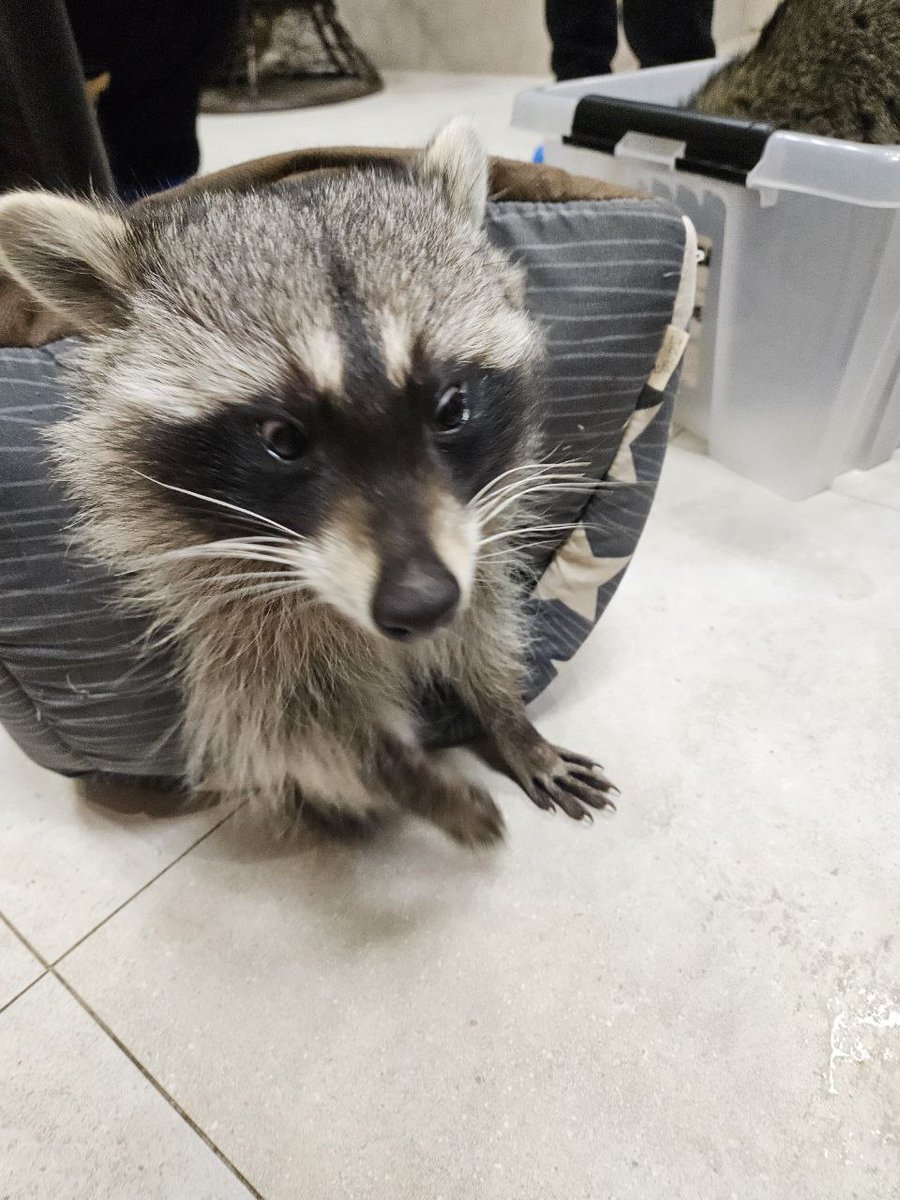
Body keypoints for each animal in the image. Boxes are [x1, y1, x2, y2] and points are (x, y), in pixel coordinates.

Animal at [0, 121, 616, 846]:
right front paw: (405, 776)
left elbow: (482, 627)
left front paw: (509, 718)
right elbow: (288, 722)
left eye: (451, 407)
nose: (421, 602)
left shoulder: (473, 546)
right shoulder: (223, 612)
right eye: (282, 439)